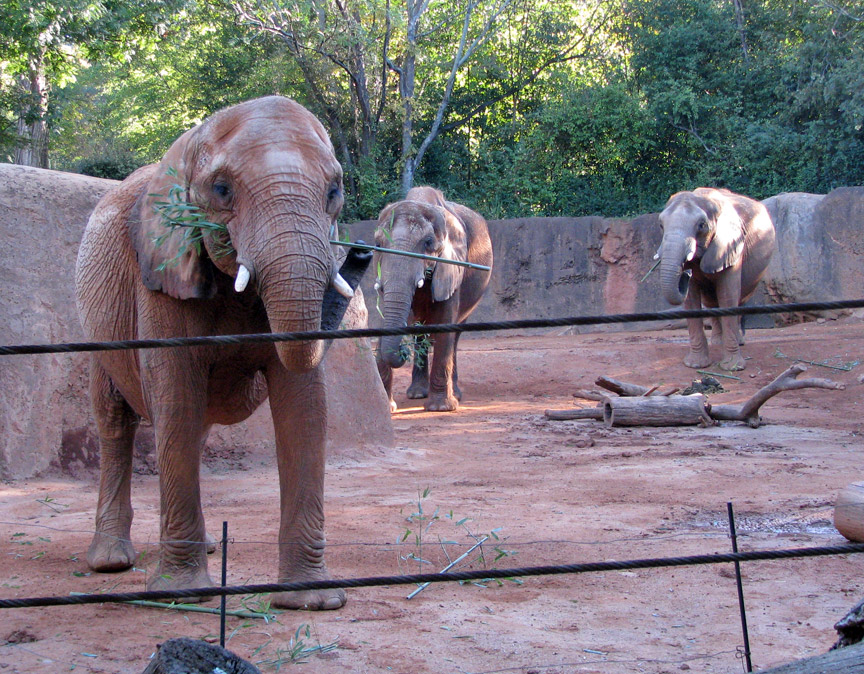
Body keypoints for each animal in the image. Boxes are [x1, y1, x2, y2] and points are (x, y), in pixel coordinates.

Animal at [76, 96, 370, 608]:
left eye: (334, 191)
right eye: (221, 190)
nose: (360, 254)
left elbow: (303, 403)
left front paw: (310, 600)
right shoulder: (162, 268)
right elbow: (175, 393)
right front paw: (181, 595)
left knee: (192, 429)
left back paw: (209, 546)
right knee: (117, 419)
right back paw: (111, 561)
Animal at [372, 186, 492, 412]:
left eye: (428, 243)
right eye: (378, 243)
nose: (402, 352)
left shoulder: (452, 267)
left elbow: (445, 326)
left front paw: (440, 408)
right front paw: (386, 407)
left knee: (455, 336)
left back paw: (455, 395)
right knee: (420, 334)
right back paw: (417, 393)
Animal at [660, 186, 776, 370]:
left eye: (701, 225)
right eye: (661, 226)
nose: (685, 274)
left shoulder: (731, 245)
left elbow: (728, 296)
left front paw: (733, 367)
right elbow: (691, 300)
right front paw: (695, 365)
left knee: (740, 297)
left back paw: (738, 341)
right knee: (710, 301)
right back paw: (717, 342)